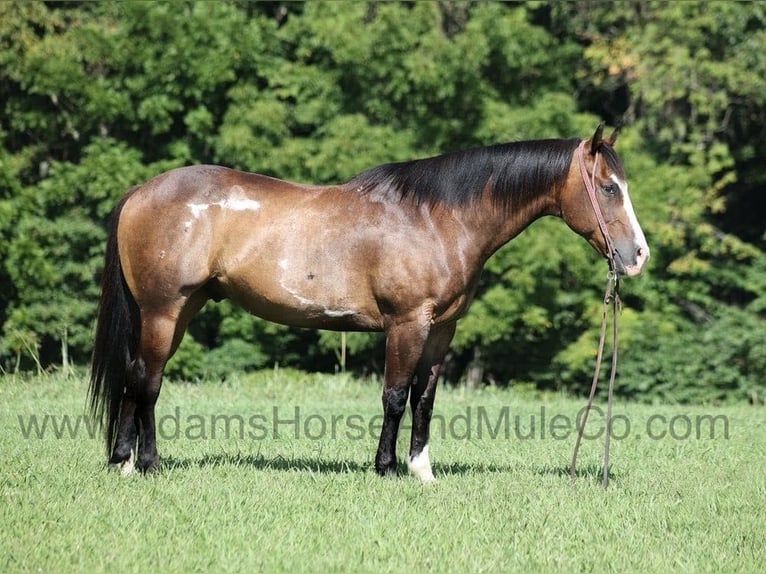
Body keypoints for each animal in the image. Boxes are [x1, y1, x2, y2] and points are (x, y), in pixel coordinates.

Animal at [91, 125, 656, 482]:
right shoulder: (407, 323)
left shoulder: (442, 329)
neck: (437, 217)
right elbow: (395, 396)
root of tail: (142, 191)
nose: (638, 256)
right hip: (164, 311)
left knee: (138, 376)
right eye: (608, 187)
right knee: (147, 380)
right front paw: (385, 468)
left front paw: (422, 471)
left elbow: (425, 399)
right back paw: (143, 464)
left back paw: (128, 461)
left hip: (180, 311)